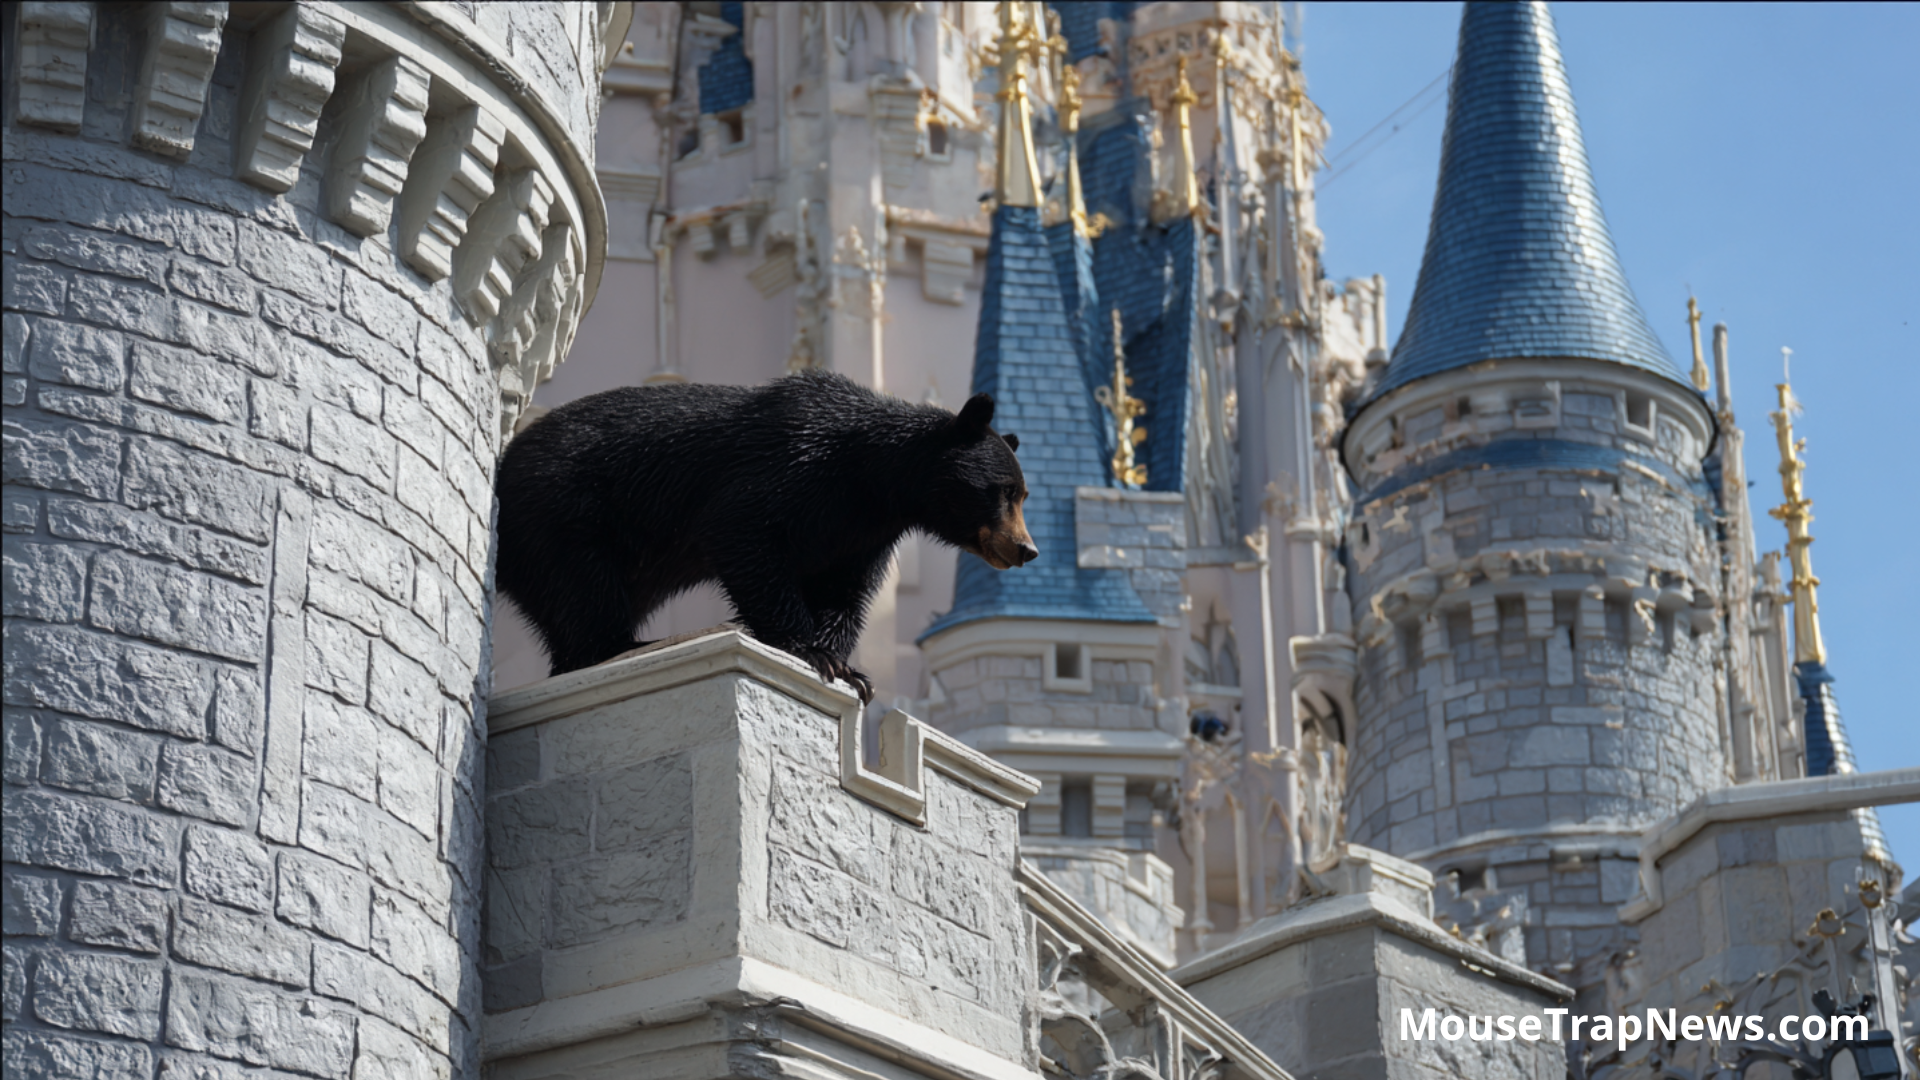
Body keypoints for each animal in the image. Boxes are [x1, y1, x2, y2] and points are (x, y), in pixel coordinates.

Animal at [493, 369, 1036, 702]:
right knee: (585, 590)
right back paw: (623, 645)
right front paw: (811, 651)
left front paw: (849, 668)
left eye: (1023, 494)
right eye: (1003, 490)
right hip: (561, 516)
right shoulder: (794, 467)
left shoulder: (862, 532)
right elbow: (742, 532)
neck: (872, 477)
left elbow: (845, 591)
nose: (1025, 550)